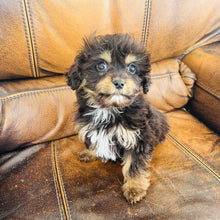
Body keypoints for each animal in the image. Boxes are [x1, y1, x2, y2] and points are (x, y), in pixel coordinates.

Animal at [66, 32, 169, 203]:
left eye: (132, 68)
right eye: (101, 65)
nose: (120, 82)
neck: (109, 109)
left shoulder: (139, 137)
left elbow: (134, 164)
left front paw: (134, 188)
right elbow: (92, 138)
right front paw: (90, 152)